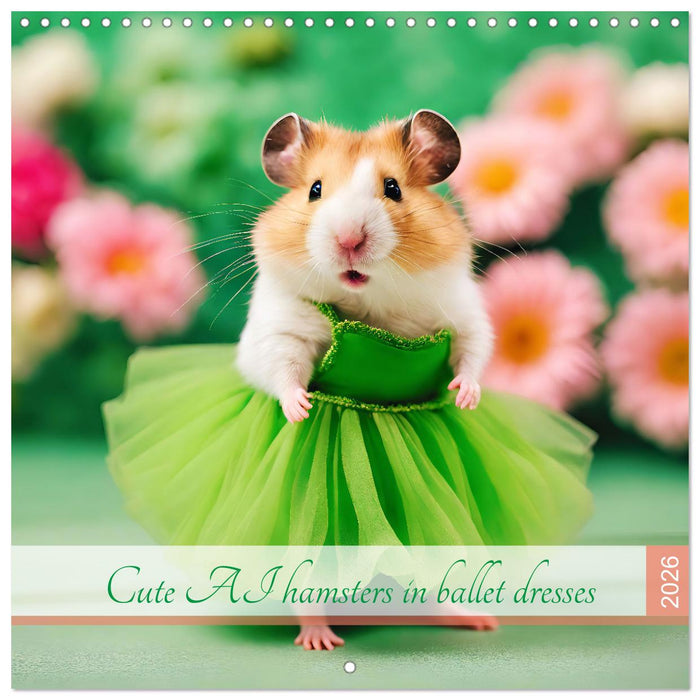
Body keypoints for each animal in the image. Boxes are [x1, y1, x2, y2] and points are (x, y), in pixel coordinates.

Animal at [236, 110, 494, 423]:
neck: (366, 301)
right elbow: (284, 365)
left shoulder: (464, 312)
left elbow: (471, 351)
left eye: (393, 188)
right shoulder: (281, 325)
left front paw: (464, 398)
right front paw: (301, 410)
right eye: (314, 189)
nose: (349, 240)